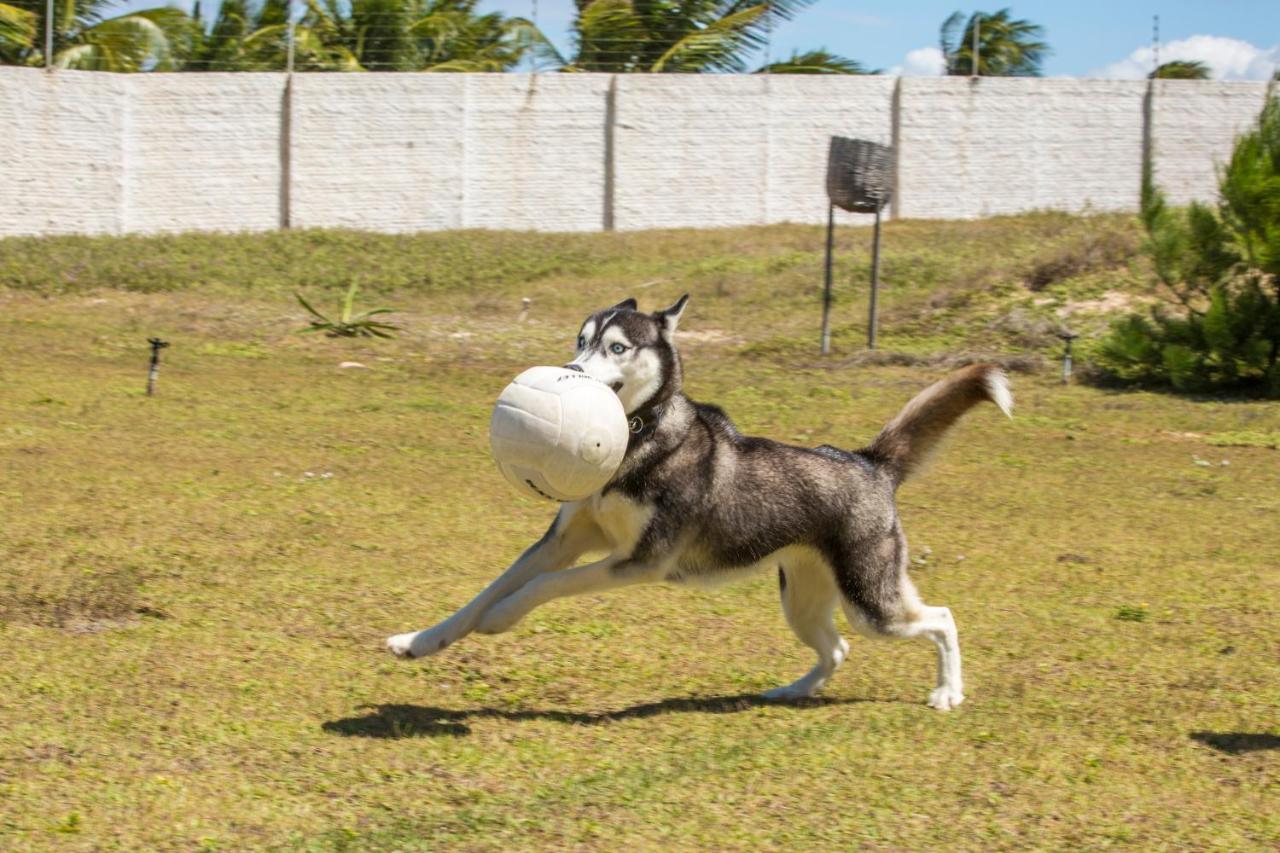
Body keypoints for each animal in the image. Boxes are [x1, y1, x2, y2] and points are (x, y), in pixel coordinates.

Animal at [386, 295, 1008, 706]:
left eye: (617, 347)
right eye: (580, 341)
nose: (568, 371)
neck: (636, 442)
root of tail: (868, 461)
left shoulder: (639, 562)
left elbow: (544, 587)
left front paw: (502, 618)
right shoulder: (563, 541)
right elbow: (488, 590)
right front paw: (422, 640)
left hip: (871, 602)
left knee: (941, 619)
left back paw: (947, 693)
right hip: (802, 601)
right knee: (837, 651)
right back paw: (792, 691)